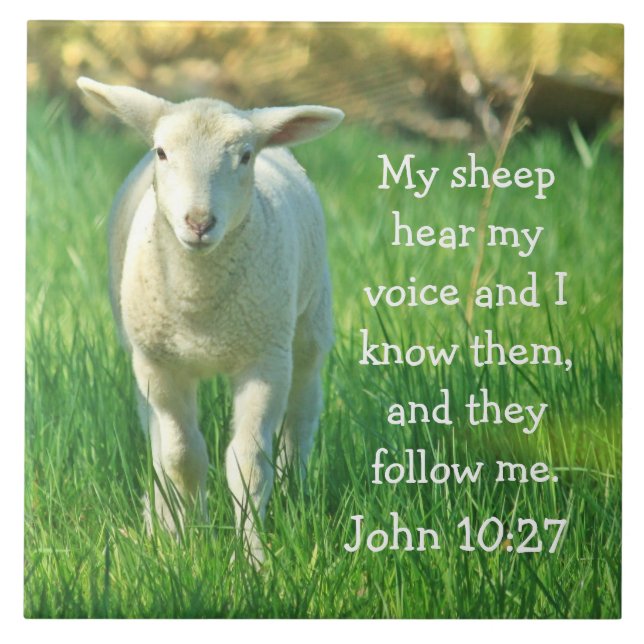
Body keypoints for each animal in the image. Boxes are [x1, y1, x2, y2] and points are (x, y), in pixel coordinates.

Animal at [77, 77, 344, 565]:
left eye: (245, 157)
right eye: (162, 152)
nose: (199, 221)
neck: (199, 306)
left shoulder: (263, 360)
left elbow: (247, 464)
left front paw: (252, 558)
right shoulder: (159, 364)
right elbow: (182, 457)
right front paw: (188, 540)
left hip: (308, 323)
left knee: (302, 411)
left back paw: (294, 489)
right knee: (156, 437)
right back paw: (160, 517)